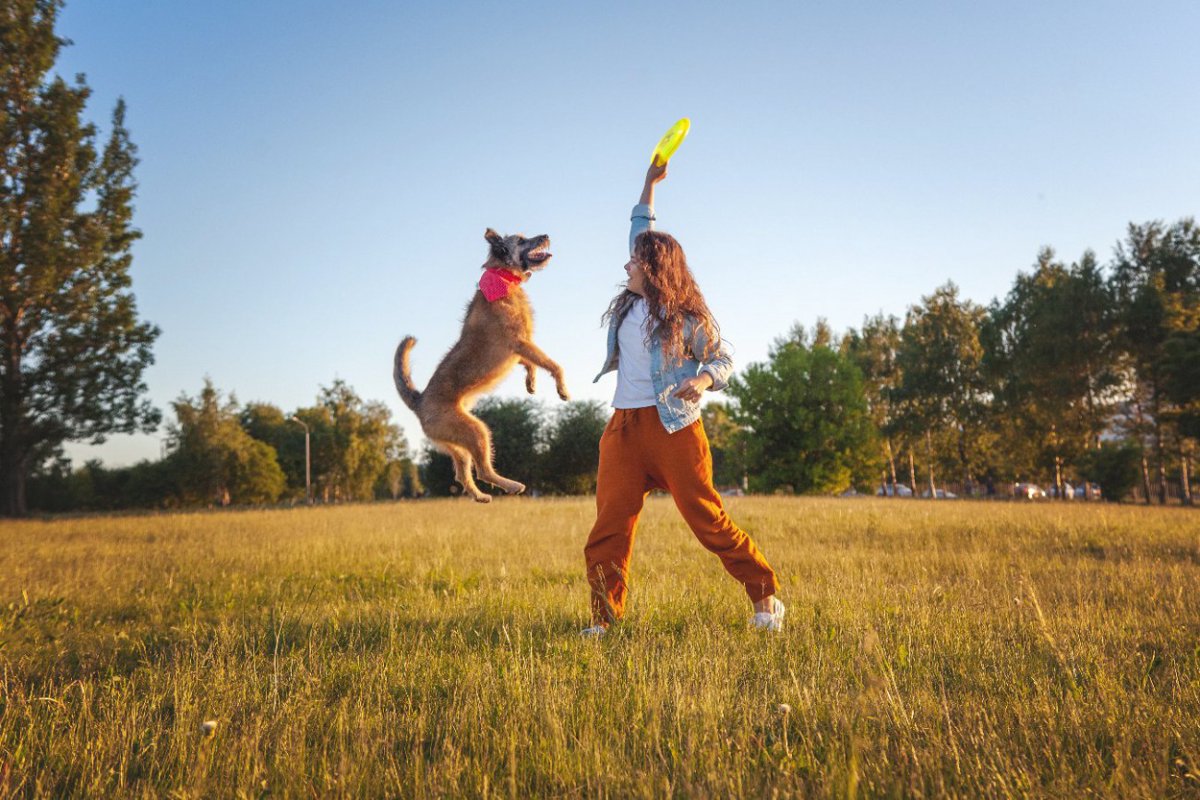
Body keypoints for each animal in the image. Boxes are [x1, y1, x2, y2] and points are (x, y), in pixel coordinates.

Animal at [393, 227, 571, 501]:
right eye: (521, 240)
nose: (545, 235)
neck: (503, 276)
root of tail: (419, 402)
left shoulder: (519, 349)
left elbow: (531, 363)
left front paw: (530, 381)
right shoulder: (520, 342)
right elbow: (553, 364)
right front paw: (562, 388)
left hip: (458, 445)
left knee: (463, 473)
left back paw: (480, 496)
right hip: (477, 432)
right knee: (484, 471)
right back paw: (512, 486)